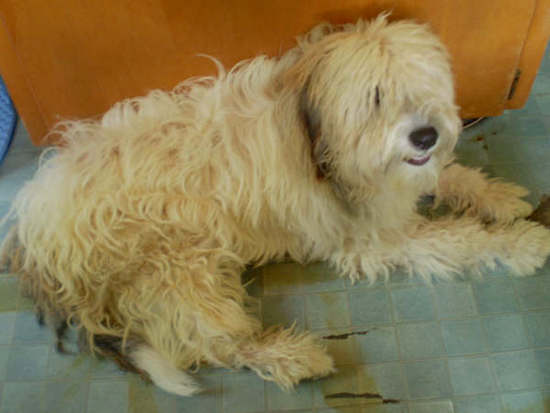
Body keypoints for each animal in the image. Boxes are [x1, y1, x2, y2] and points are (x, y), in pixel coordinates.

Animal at [1, 14, 550, 396]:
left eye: (423, 85)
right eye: (374, 98)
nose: (426, 135)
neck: (318, 138)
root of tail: (30, 236)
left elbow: (450, 177)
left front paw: (496, 195)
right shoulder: (371, 238)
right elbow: (459, 239)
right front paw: (520, 243)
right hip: (181, 267)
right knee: (211, 343)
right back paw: (291, 356)